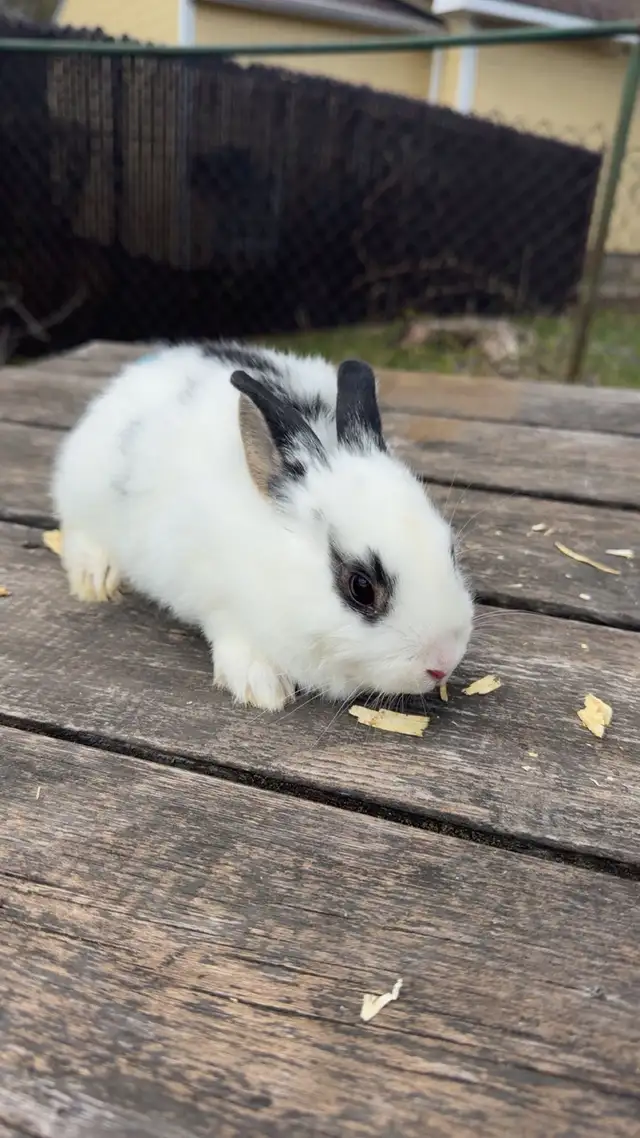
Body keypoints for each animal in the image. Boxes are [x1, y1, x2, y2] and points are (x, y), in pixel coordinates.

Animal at [52, 341, 474, 711]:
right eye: (361, 588)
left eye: (451, 551)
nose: (443, 663)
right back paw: (95, 579)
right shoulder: (214, 596)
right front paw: (264, 689)